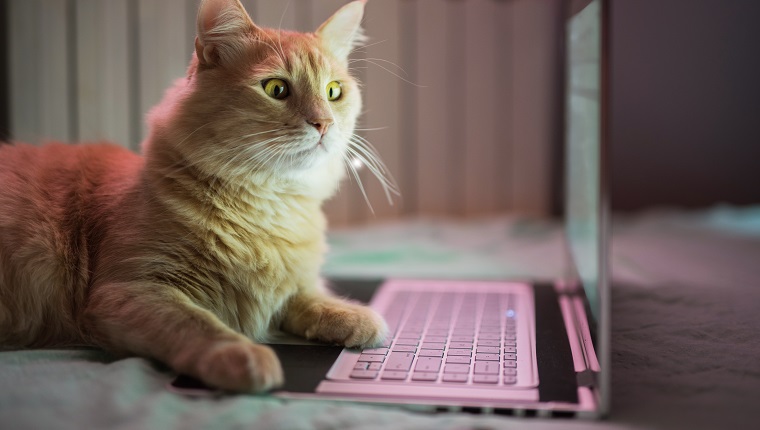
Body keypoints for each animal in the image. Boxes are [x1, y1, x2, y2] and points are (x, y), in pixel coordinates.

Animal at [0, 0, 392, 394]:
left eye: (333, 92)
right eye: (276, 89)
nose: (324, 123)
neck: (266, 205)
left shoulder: (290, 287)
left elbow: (308, 297)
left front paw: (356, 316)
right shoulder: (129, 289)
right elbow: (197, 324)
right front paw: (244, 356)